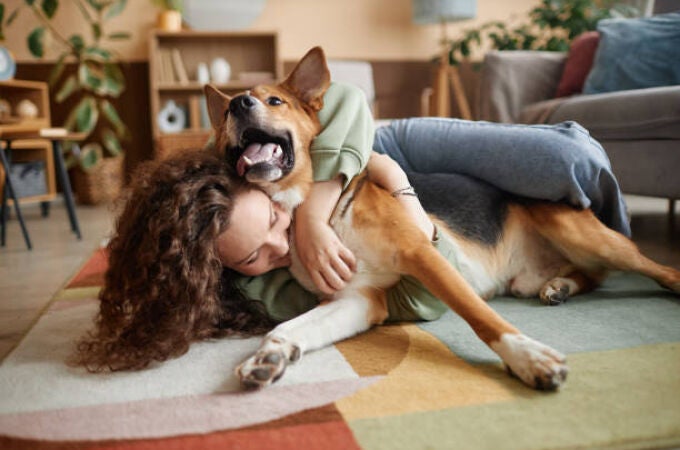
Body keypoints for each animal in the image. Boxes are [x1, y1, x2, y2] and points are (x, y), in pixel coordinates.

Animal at [205, 46, 680, 390]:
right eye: (227, 113)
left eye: (275, 101)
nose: (240, 103)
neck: (317, 212)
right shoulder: (357, 299)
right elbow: (292, 326)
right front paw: (269, 355)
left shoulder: (422, 254)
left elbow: (481, 318)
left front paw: (527, 357)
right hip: (534, 274)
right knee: (590, 276)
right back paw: (560, 286)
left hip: (582, 233)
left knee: (653, 269)